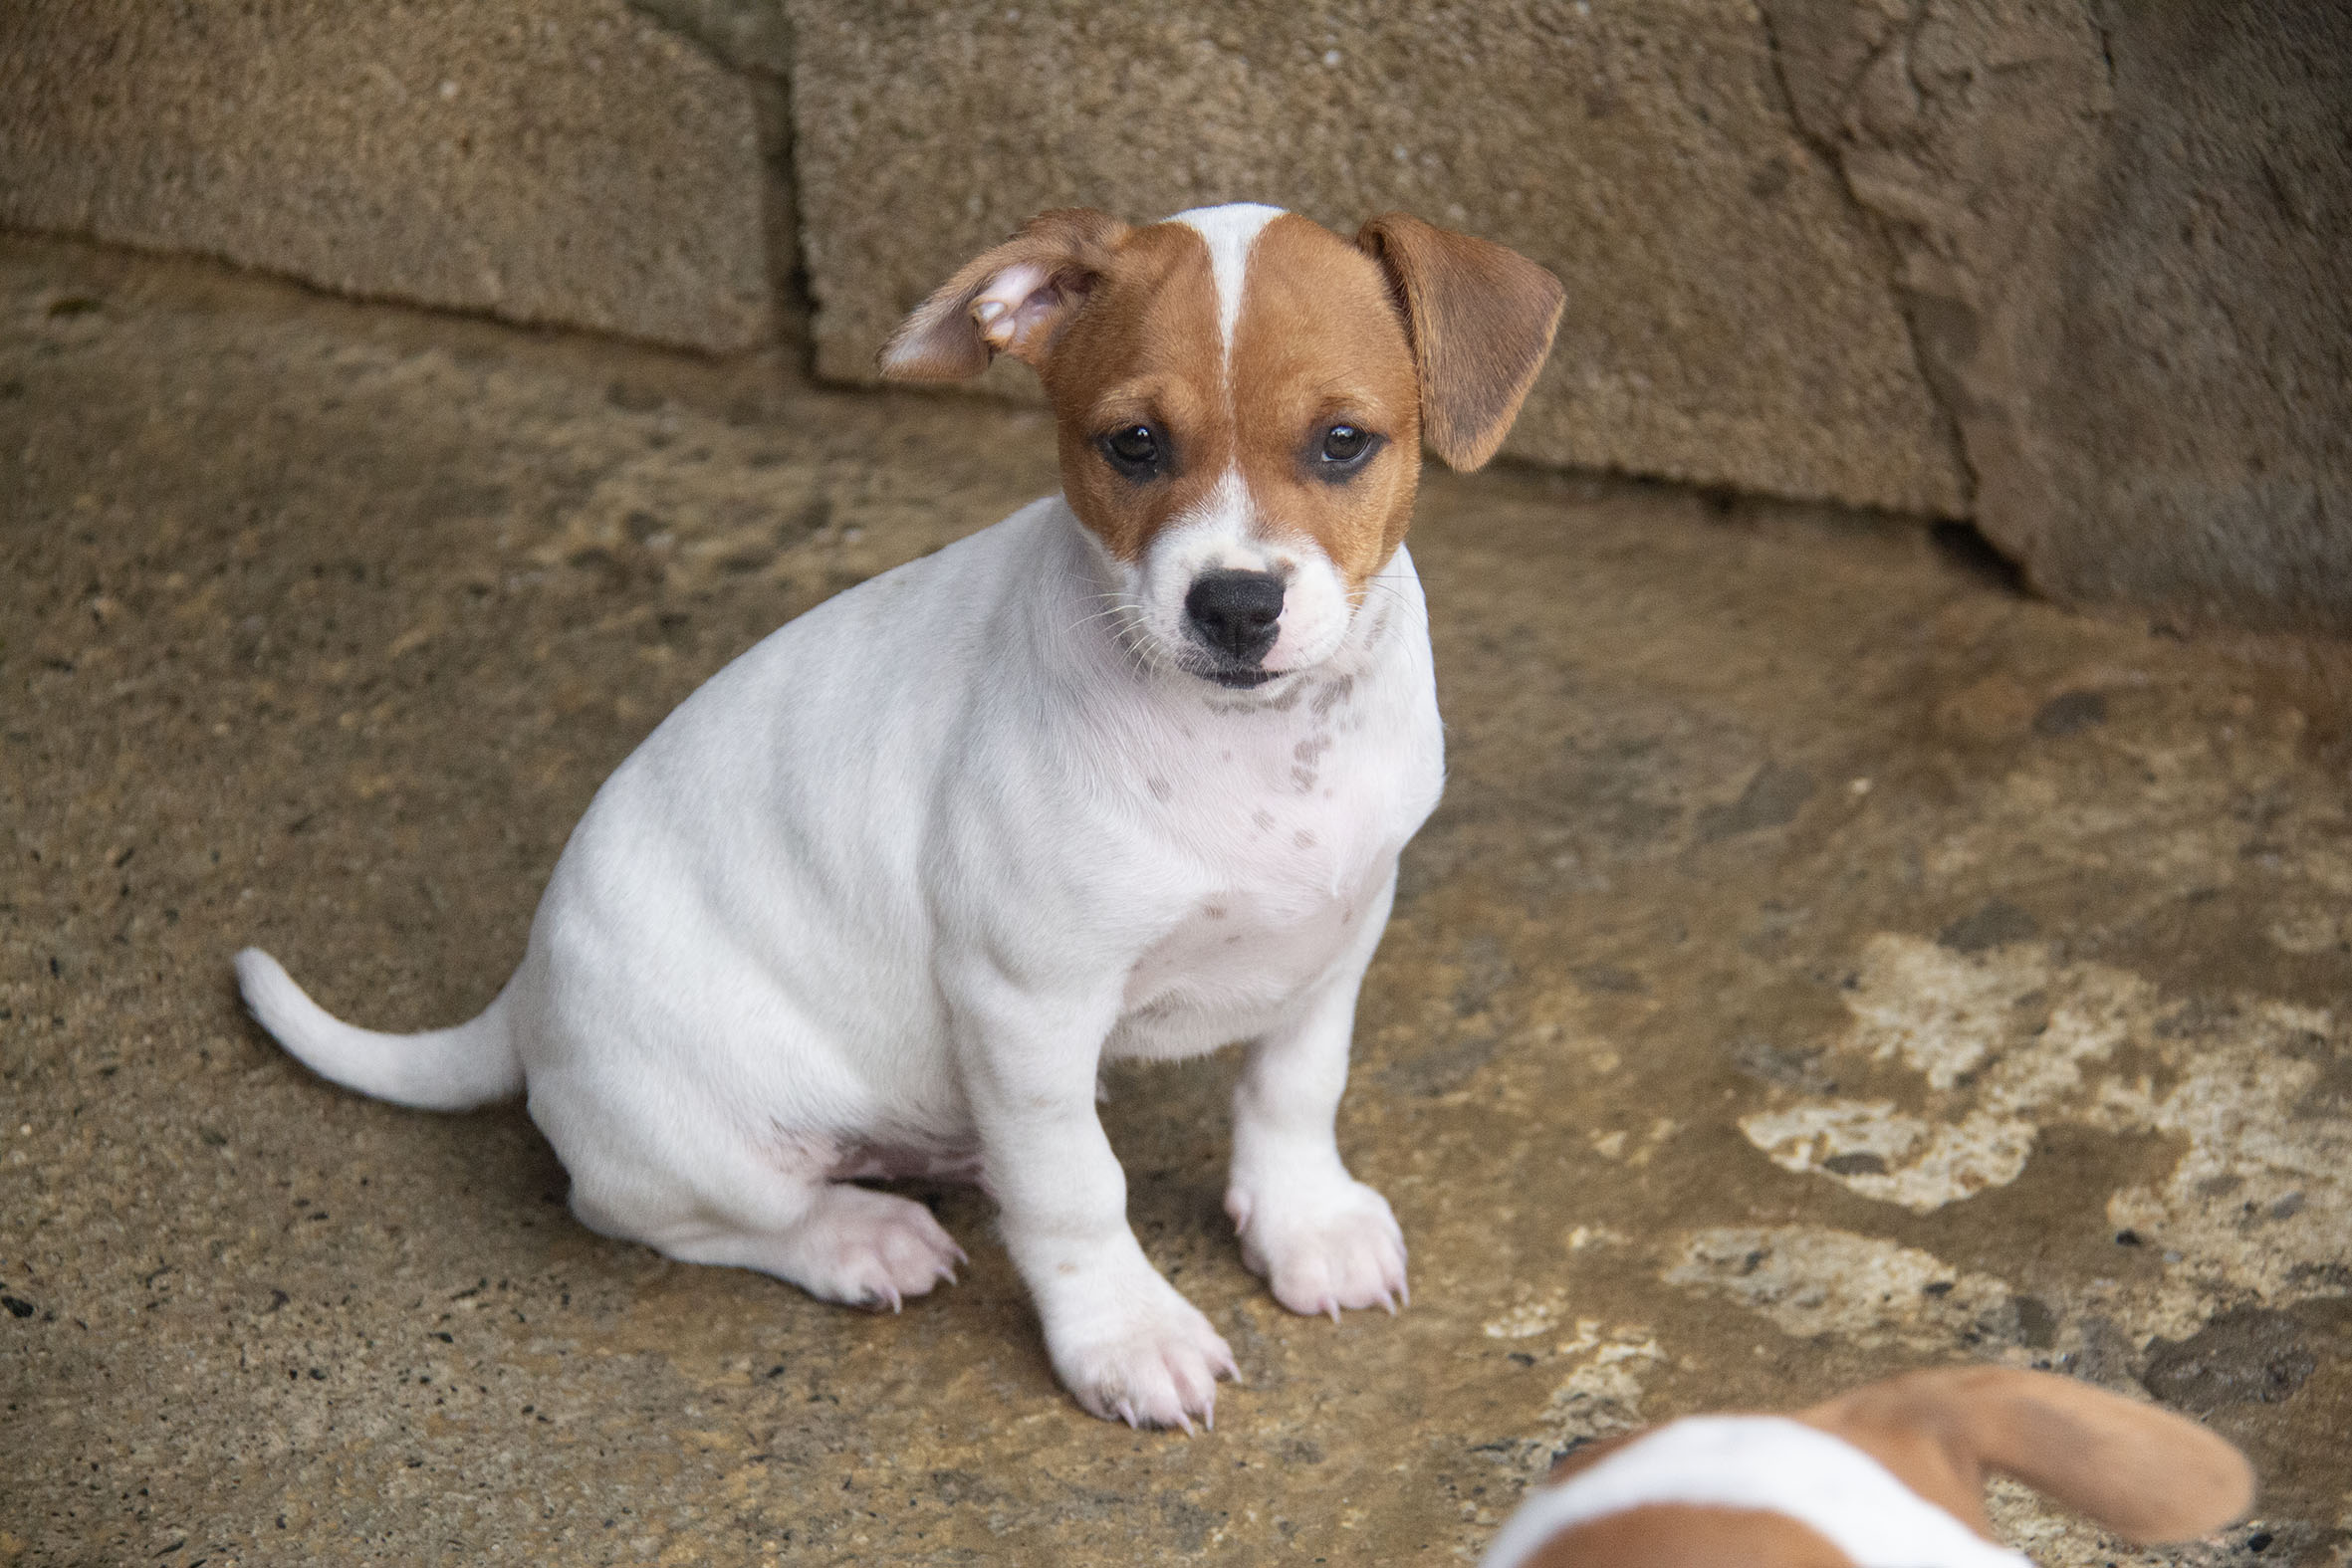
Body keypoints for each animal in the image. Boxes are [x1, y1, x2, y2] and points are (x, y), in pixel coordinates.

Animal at [236, 202, 1564, 1429]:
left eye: (1343, 443)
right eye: (1133, 445)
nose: (1235, 606)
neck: (1251, 748)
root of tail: (524, 997)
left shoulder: (1340, 929)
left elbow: (1295, 1086)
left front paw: (1304, 1222)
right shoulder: (1027, 1001)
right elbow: (1077, 1190)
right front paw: (1125, 1333)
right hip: (705, 1143)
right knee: (670, 1214)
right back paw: (859, 1238)